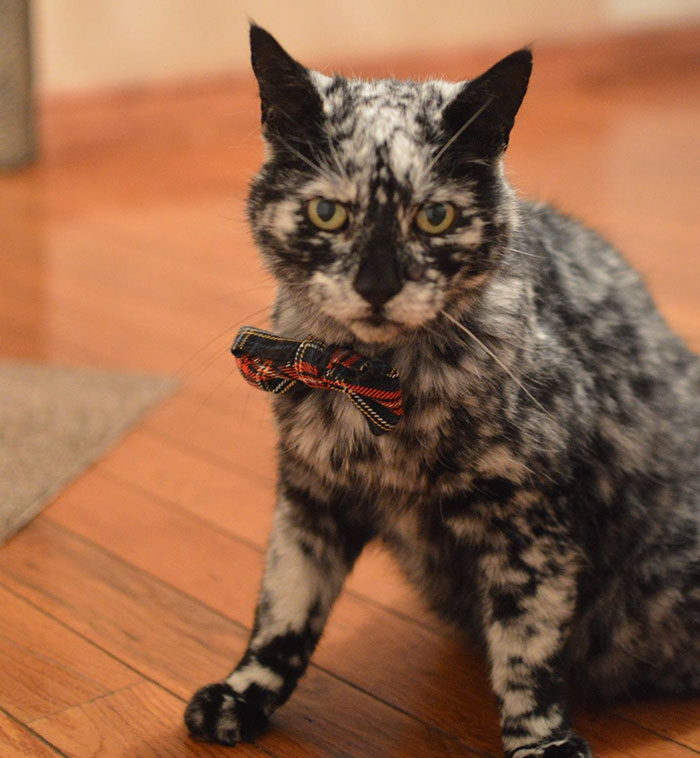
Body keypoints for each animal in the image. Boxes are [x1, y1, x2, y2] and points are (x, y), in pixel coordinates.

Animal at [185, 25, 700, 758]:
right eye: (327, 213)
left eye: (434, 217)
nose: (376, 285)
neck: (374, 390)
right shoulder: (311, 500)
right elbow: (284, 608)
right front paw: (243, 694)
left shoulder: (532, 529)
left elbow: (526, 654)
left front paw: (541, 743)